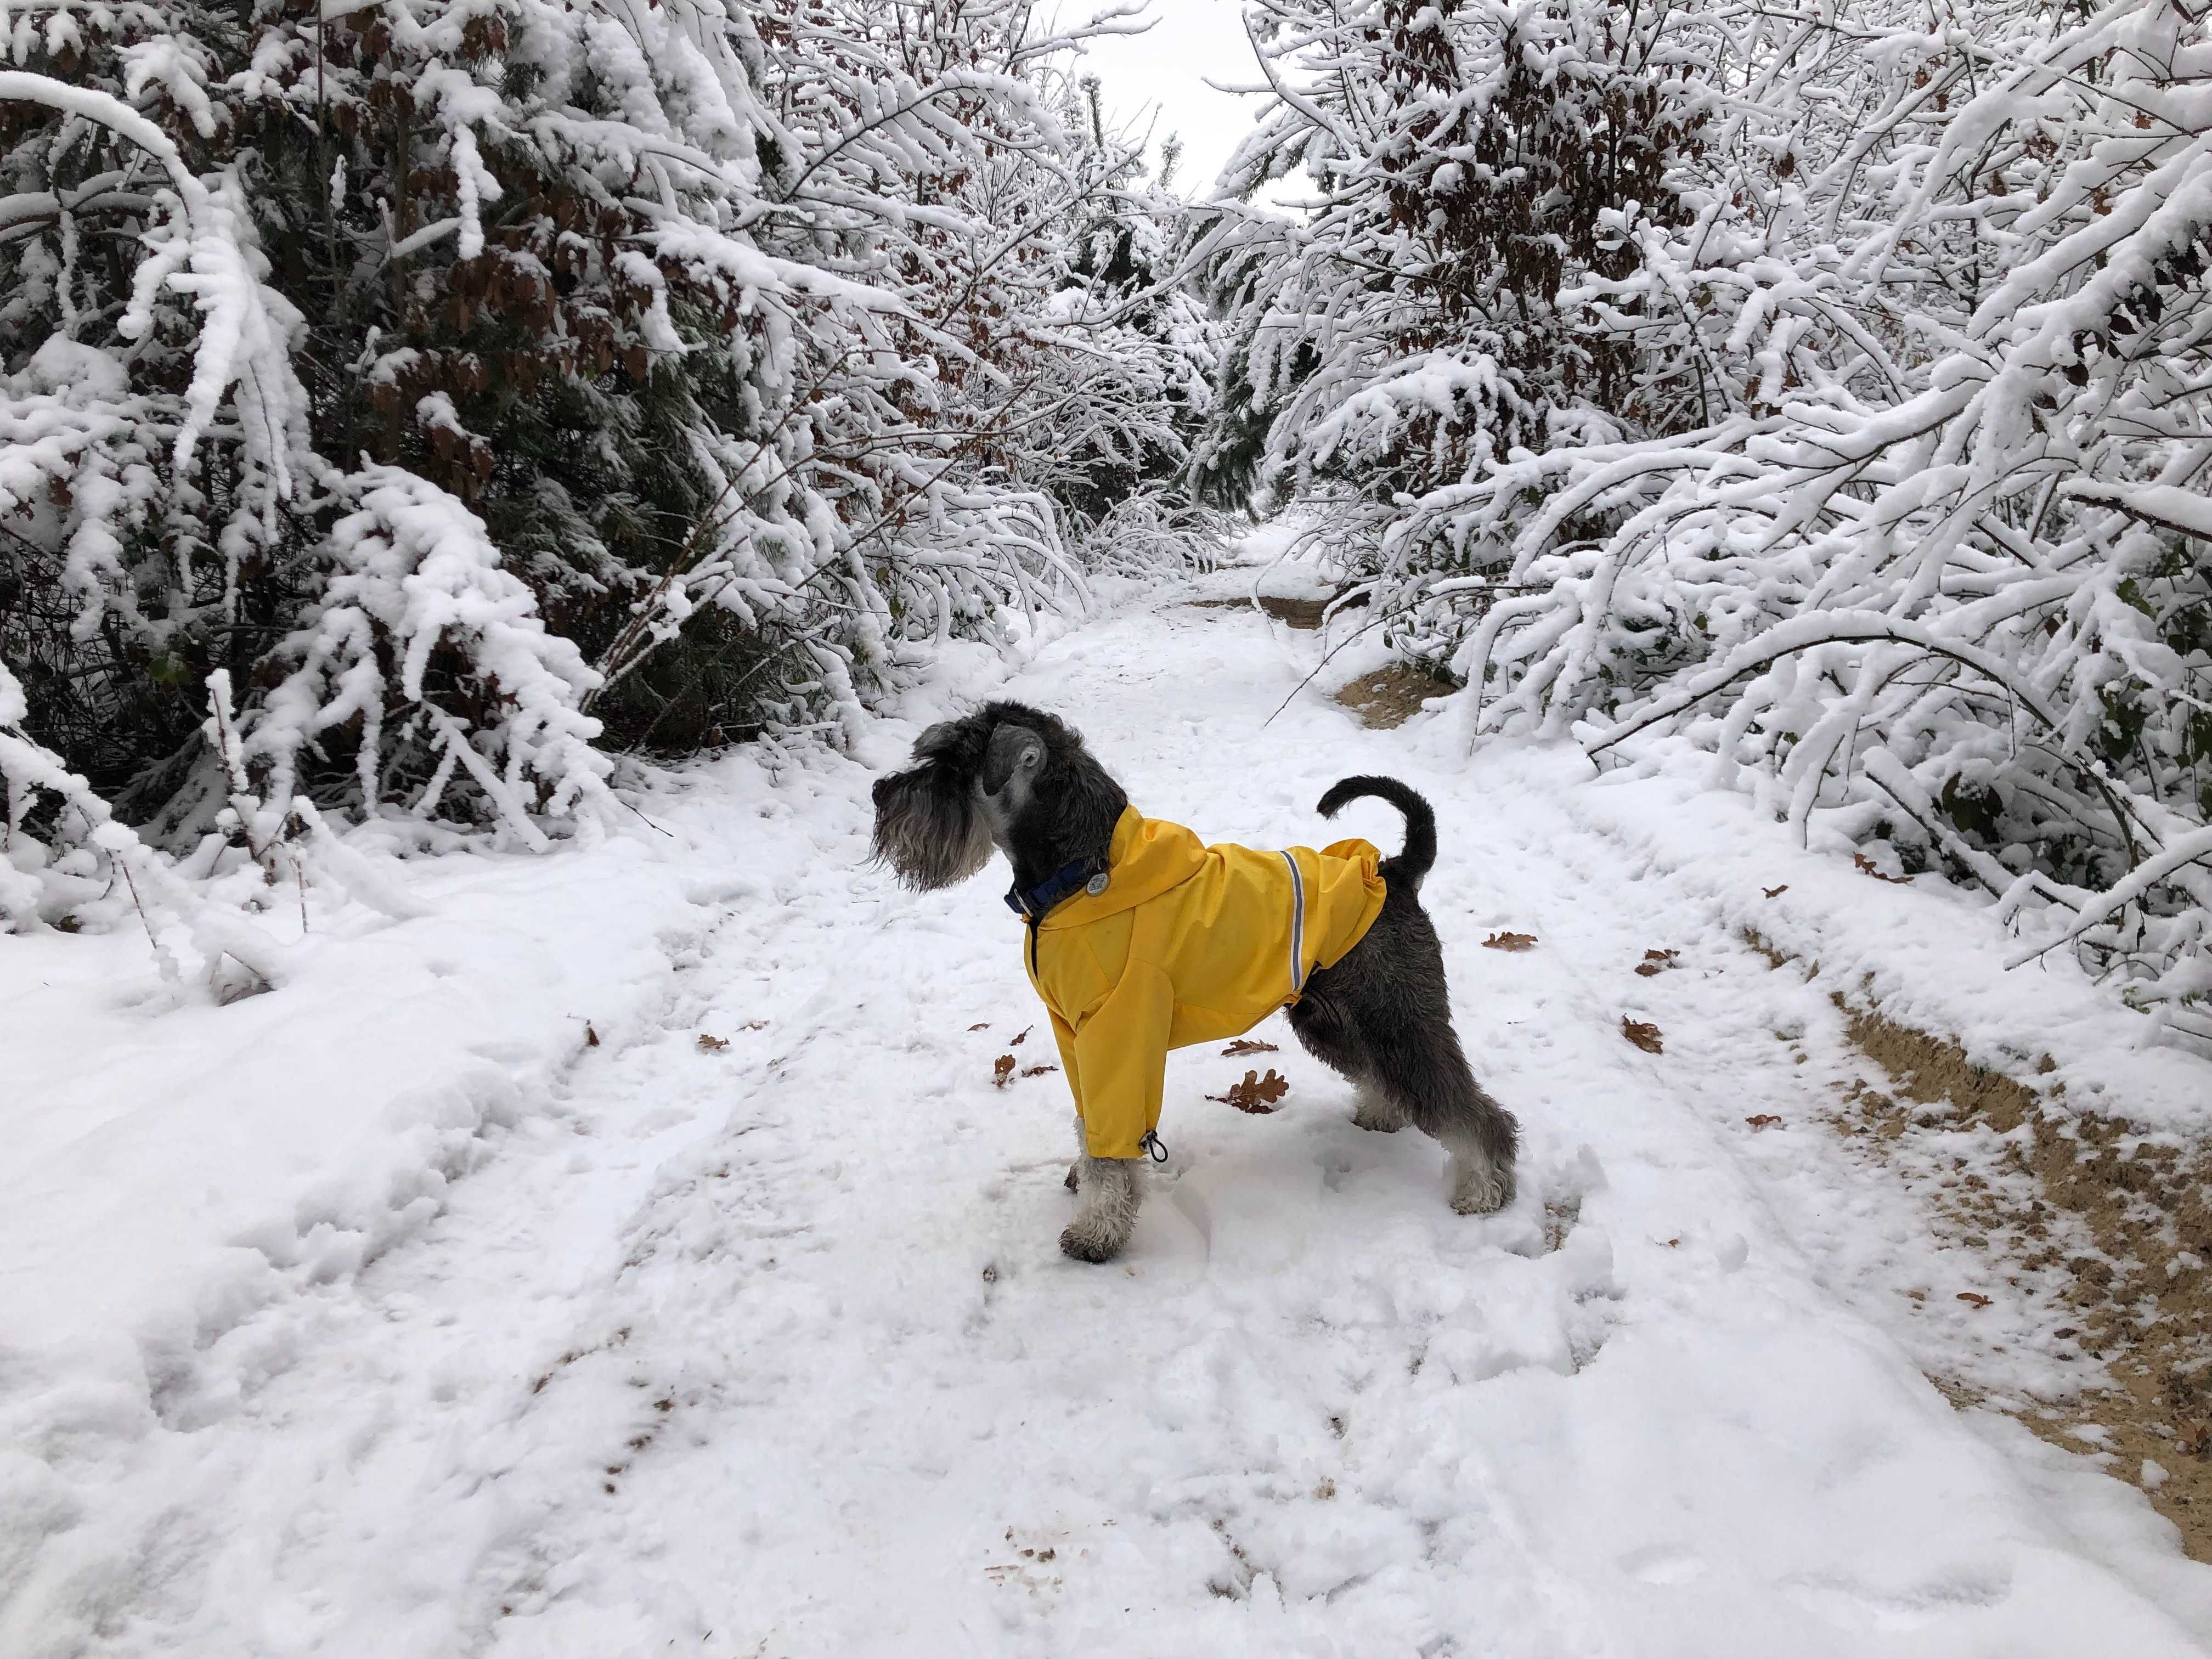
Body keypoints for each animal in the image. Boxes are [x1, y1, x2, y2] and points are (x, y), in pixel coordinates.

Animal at [867, 699, 1522, 1256]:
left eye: (952, 763)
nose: (879, 792)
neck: (1082, 874)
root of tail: (1392, 871)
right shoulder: (1075, 1037)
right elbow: (1089, 1126)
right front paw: (1086, 1183)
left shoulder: (1117, 1037)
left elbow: (1113, 1145)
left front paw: (1096, 1233)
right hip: (1332, 1020)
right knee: (1389, 1076)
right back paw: (1385, 1115)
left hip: (1396, 1015)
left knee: (1470, 1109)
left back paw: (1484, 1189)